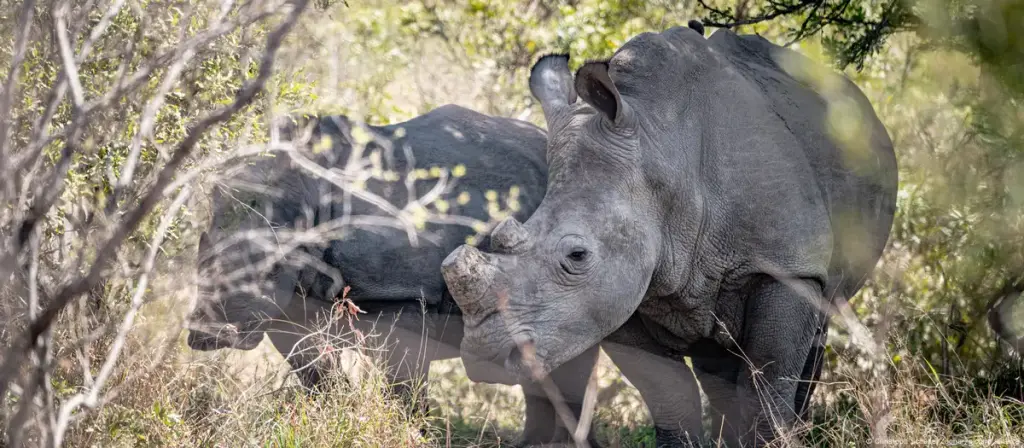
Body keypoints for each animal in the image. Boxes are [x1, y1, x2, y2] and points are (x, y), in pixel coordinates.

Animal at [185, 104, 602, 446]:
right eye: (198, 262)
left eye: (270, 267)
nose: (210, 334)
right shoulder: (288, 306)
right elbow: (317, 376)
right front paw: (336, 416)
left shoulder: (403, 294)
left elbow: (404, 386)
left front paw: (412, 435)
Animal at [441, 24, 899, 447]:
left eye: (577, 256)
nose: (486, 355)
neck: (660, 150)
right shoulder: (619, 293)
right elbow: (667, 392)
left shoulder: (786, 266)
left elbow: (768, 384)